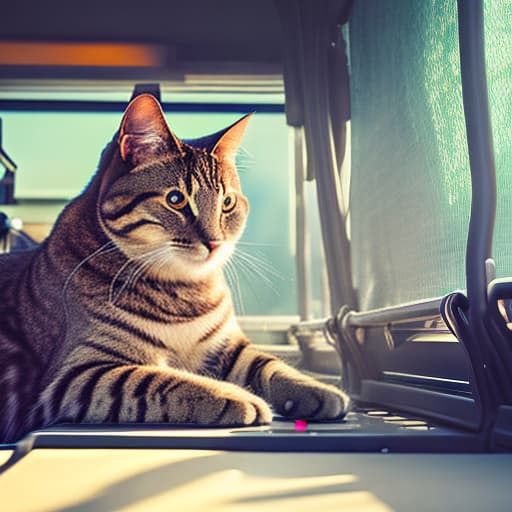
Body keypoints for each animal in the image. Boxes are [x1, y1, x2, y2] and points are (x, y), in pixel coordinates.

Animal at [0, 94, 348, 442]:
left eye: (227, 203)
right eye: (176, 199)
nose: (215, 242)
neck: (183, 289)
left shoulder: (229, 345)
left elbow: (267, 363)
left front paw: (316, 389)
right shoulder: (76, 375)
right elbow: (160, 380)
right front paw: (234, 395)